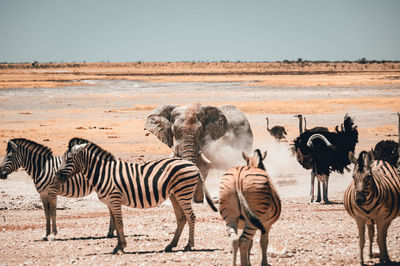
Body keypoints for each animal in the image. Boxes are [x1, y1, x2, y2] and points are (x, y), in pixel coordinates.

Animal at [54, 137, 217, 254]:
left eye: (69, 159)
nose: (56, 176)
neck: (103, 173)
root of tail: (193, 165)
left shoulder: (114, 199)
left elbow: (119, 223)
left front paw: (121, 246)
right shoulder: (110, 202)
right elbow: (115, 223)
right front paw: (118, 245)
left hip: (183, 193)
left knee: (191, 217)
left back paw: (189, 245)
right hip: (175, 195)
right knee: (182, 218)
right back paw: (171, 245)